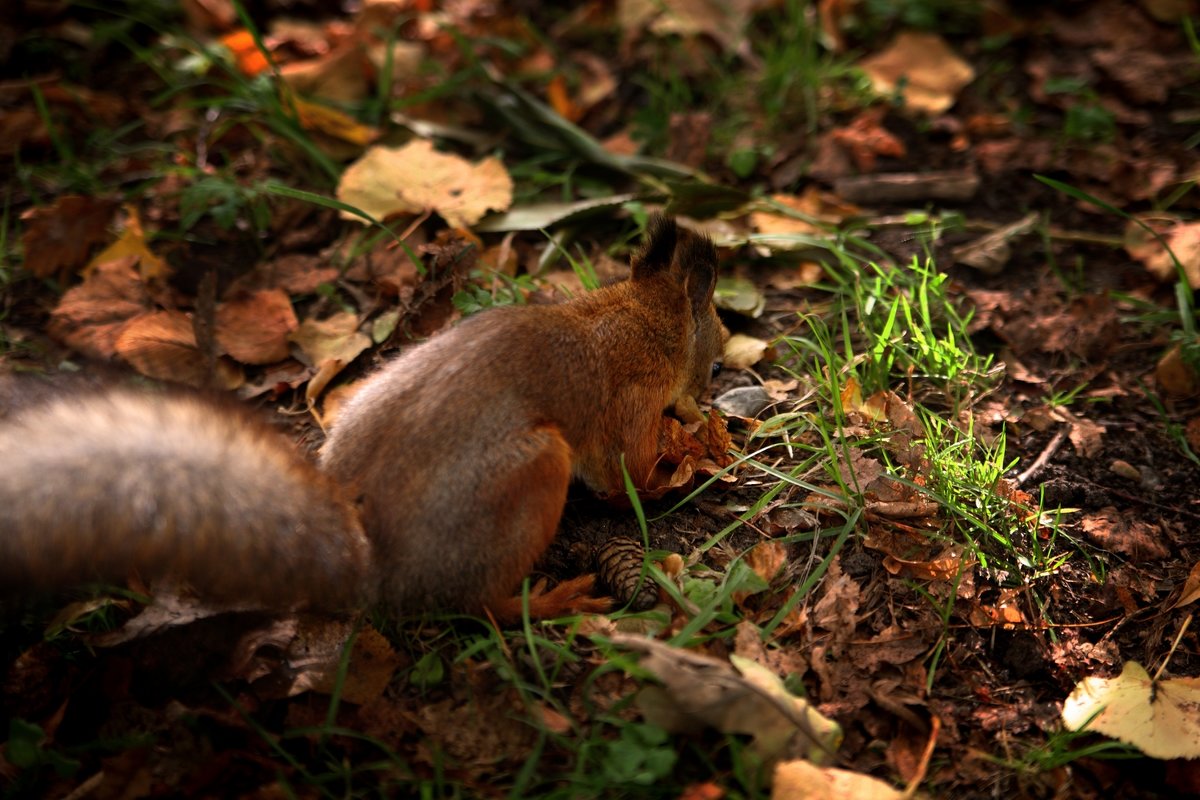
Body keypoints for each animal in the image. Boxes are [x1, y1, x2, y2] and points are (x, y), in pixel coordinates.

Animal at [0, 215, 720, 623]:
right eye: (714, 360)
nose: (709, 394)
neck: (634, 317)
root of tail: (379, 571)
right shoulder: (630, 403)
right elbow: (630, 476)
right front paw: (694, 454)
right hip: (530, 475)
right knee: (478, 607)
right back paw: (551, 602)